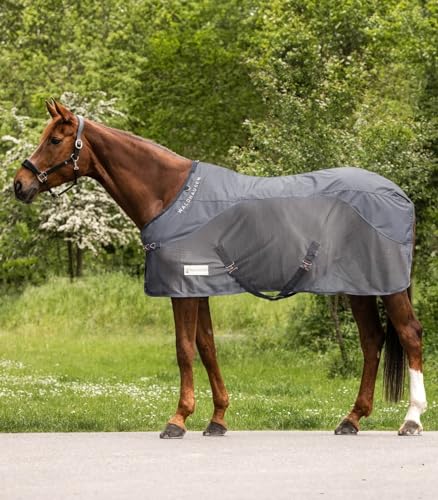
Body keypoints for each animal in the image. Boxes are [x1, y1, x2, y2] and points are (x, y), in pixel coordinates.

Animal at [13, 101, 428, 438]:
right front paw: (217, 419)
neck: (169, 195)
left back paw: (411, 419)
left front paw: (178, 420)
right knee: (372, 341)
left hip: (387, 287)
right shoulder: (199, 289)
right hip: (360, 288)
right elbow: (207, 346)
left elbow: (184, 349)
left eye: (55, 140)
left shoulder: (182, 289)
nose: (20, 184)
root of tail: (399, 194)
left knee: (409, 335)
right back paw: (351, 419)